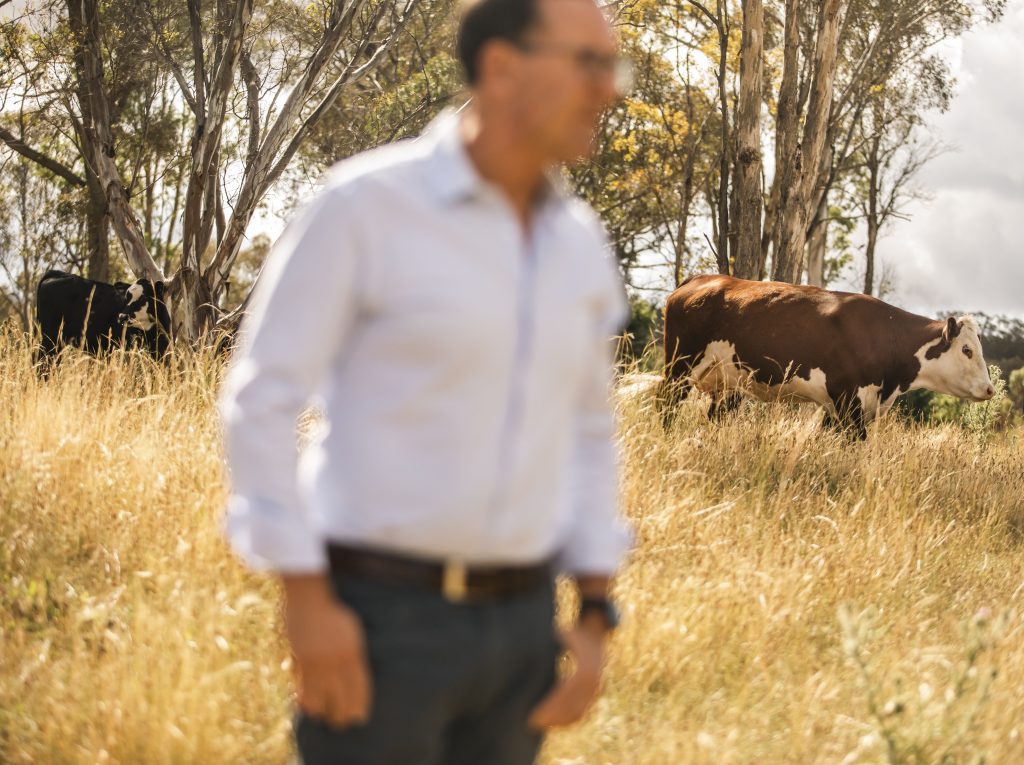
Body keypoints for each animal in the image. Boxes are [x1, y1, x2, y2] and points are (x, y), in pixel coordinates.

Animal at [663, 274, 991, 436]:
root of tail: (703, 279)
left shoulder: (840, 408)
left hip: (728, 384)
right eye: (967, 349)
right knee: (666, 405)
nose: (990, 389)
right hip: (680, 367)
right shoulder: (847, 402)